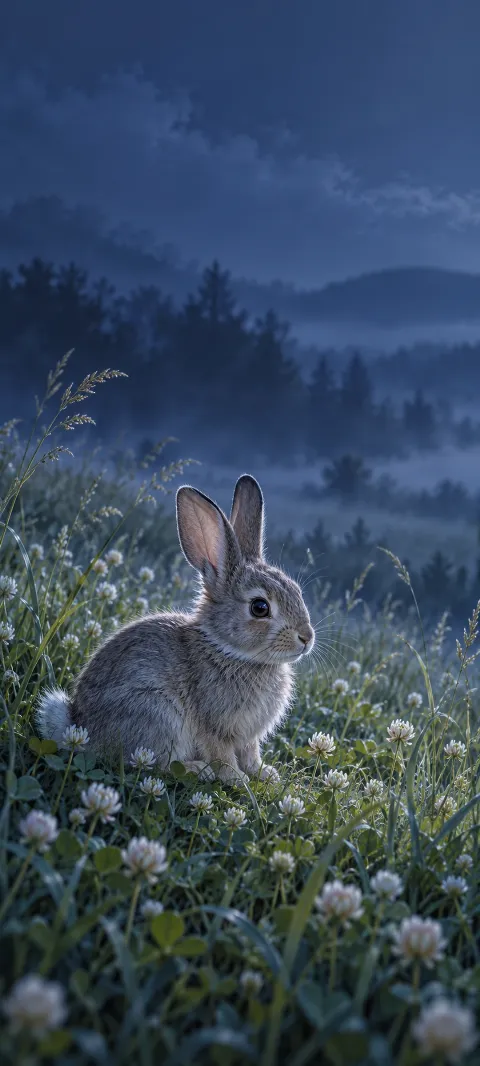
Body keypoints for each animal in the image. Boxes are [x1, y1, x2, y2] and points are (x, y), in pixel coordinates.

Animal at [36, 474, 315, 785]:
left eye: (297, 591)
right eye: (259, 607)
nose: (306, 638)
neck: (231, 651)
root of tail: (80, 729)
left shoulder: (247, 738)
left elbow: (251, 753)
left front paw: (265, 774)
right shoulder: (214, 726)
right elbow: (222, 755)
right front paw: (237, 780)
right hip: (158, 714)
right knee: (149, 765)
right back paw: (198, 770)